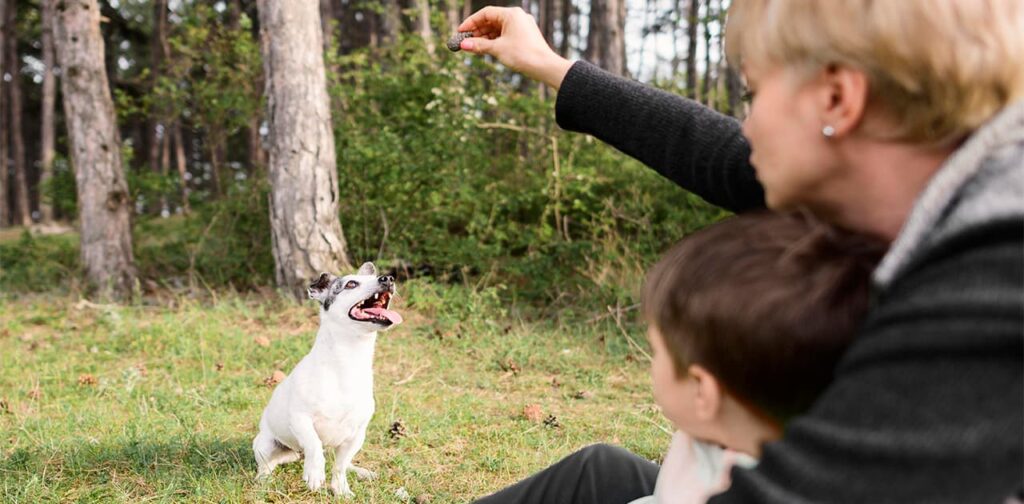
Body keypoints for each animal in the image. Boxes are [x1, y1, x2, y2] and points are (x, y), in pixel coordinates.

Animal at [251, 262, 403, 497]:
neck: (348, 360)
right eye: (351, 284)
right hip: (265, 444)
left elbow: (340, 466)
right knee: (268, 464)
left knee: (340, 461)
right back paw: (264, 480)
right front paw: (314, 473)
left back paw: (360, 471)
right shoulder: (301, 419)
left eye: (381, 277)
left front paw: (341, 489)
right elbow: (313, 444)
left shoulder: (356, 435)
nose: (387, 278)